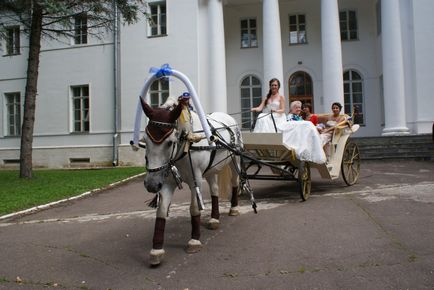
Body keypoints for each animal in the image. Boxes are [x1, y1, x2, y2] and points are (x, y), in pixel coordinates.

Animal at [139, 97, 241, 266]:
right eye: (145, 141)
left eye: (169, 142)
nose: (151, 184)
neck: (186, 144)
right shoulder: (167, 182)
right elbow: (161, 211)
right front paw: (157, 250)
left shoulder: (196, 179)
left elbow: (194, 208)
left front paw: (194, 240)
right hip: (211, 170)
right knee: (214, 189)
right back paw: (214, 218)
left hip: (235, 161)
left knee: (235, 182)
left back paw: (234, 208)